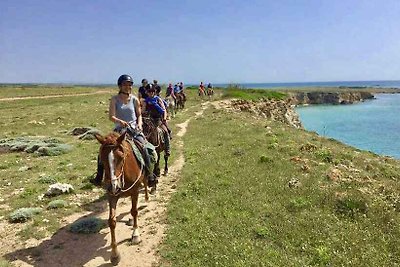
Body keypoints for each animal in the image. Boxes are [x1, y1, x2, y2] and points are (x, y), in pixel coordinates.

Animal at [95, 132, 148, 266]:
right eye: (102, 158)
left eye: (121, 157)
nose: (114, 186)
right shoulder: (112, 196)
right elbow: (112, 221)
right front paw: (114, 254)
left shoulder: (135, 191)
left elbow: (134, 211)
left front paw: (136, 234)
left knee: (145, 182)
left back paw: (147, 197)